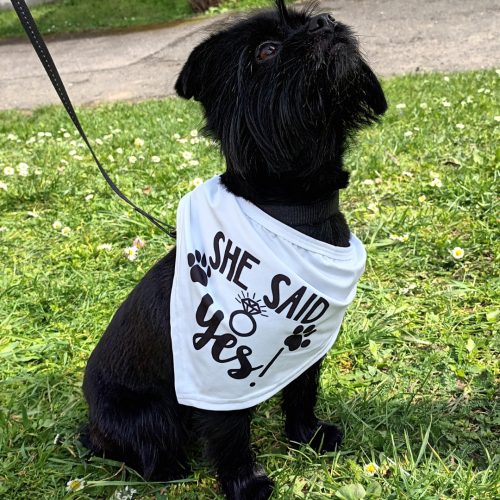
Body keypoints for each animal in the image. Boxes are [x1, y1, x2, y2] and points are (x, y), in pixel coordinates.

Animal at [82, 1, 386, 498]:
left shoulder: (304, 346)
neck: (294, 211)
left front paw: (306, 437)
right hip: (150, 416)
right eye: (266, 50)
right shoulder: (218, 379)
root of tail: (92, 423)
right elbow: (228, 432)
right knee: (149, 448)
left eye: (313, 19)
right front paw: (246, 483)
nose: (326, 24)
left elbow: (302, 392)